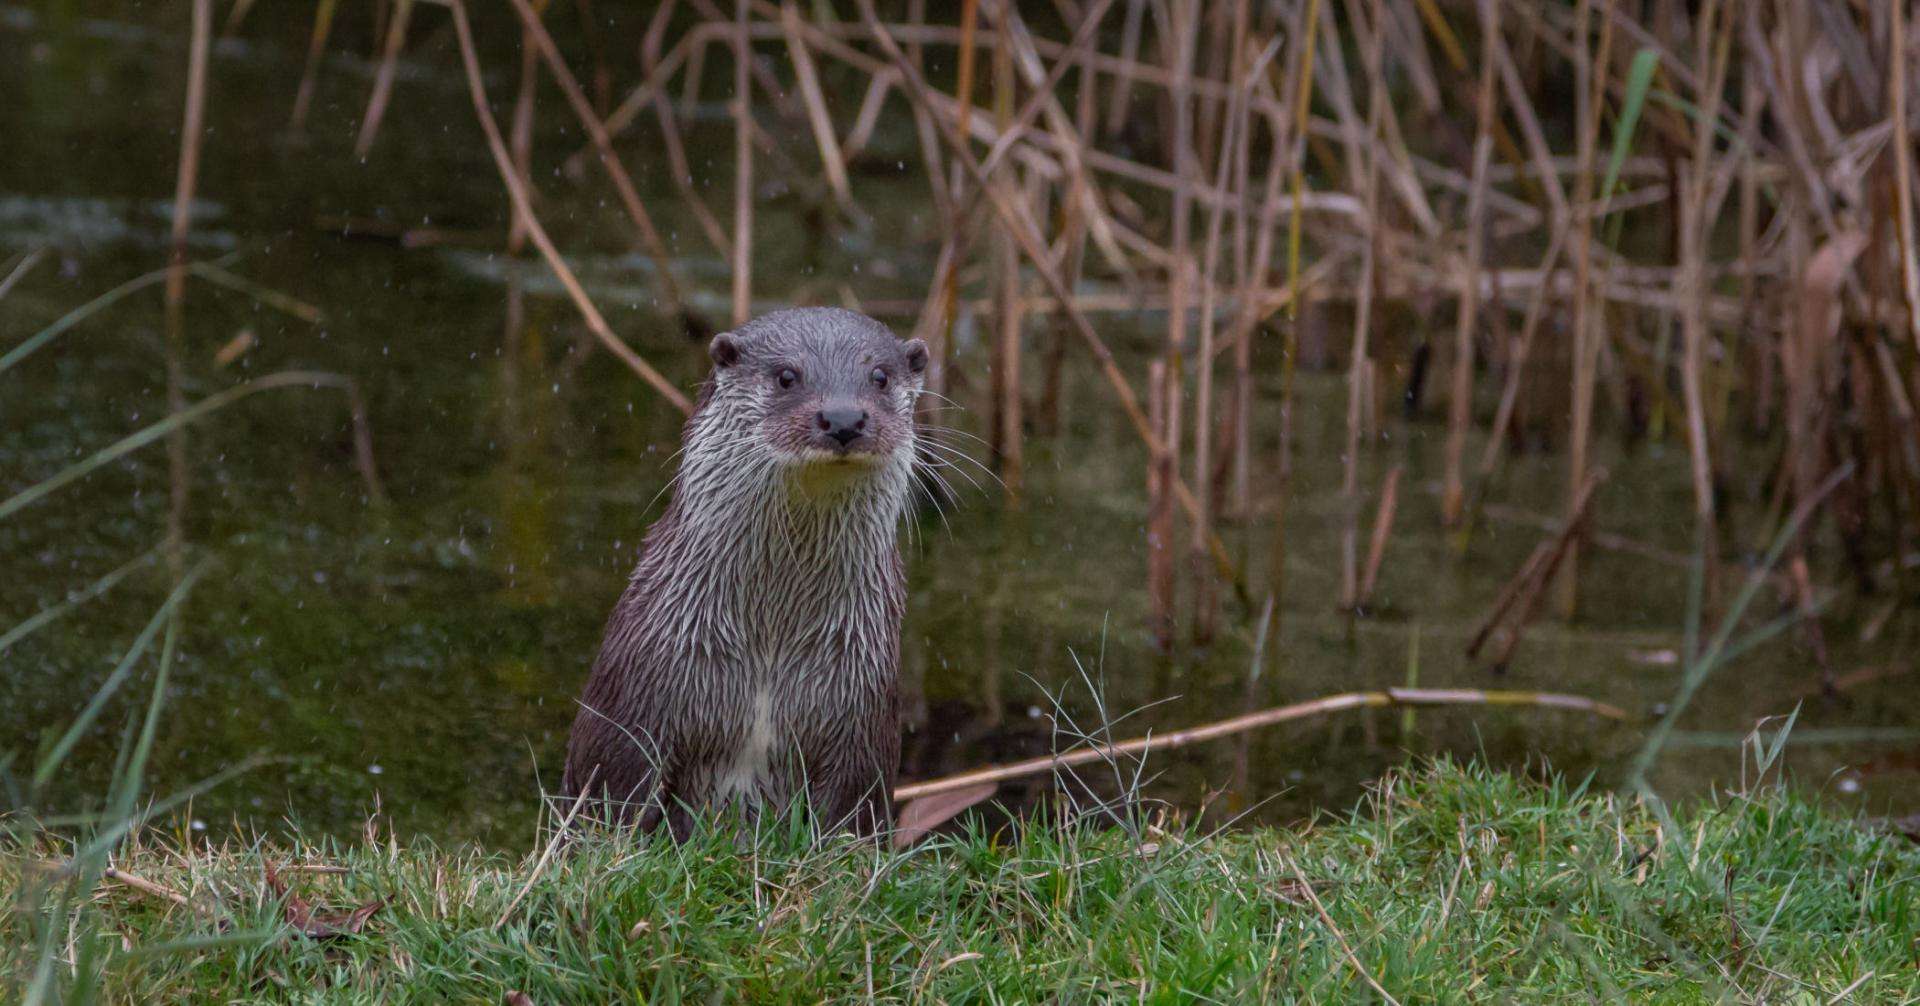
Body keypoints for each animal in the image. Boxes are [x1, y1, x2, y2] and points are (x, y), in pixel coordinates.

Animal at [560, 309, 929, 840]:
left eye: (879, 376)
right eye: (786, 376)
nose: (843, 418)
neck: (769, 640)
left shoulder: (864, 709)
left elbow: (849, 815)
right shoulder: (634, 703)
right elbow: (611, 803)